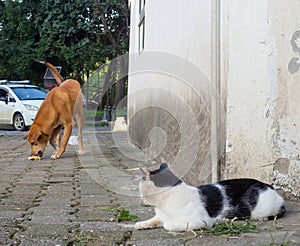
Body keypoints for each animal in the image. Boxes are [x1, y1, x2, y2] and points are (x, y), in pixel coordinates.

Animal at [134, 163, 286, 231]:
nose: (139, 192)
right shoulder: (159, 216)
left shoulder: (201, 221)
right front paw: (141, 224)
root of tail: (269, 186)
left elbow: (168, 225)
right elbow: (154, 220)